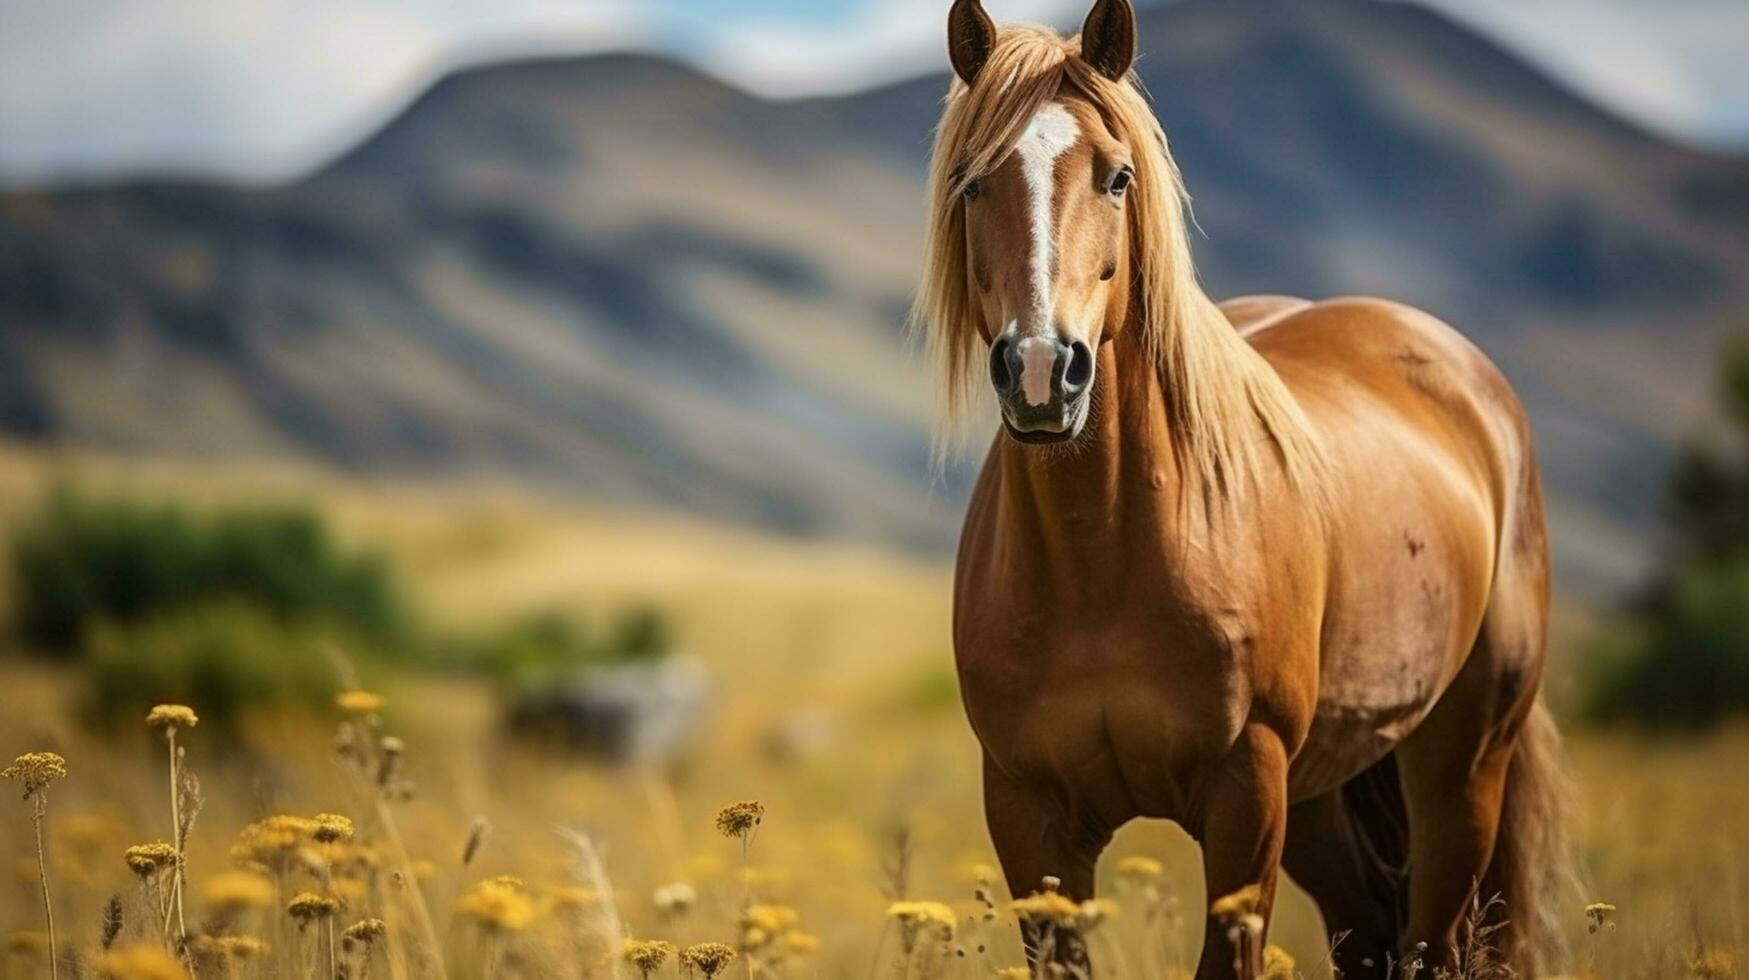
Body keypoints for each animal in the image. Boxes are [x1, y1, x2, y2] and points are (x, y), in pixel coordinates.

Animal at [923, 3, 1581, 973]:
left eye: (1117, 176)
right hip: (1322, 802)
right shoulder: (1027, 815)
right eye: (971, 182)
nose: (1042, 372)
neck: (1104, 560)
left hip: (1459, 769)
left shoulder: (1246, 795)